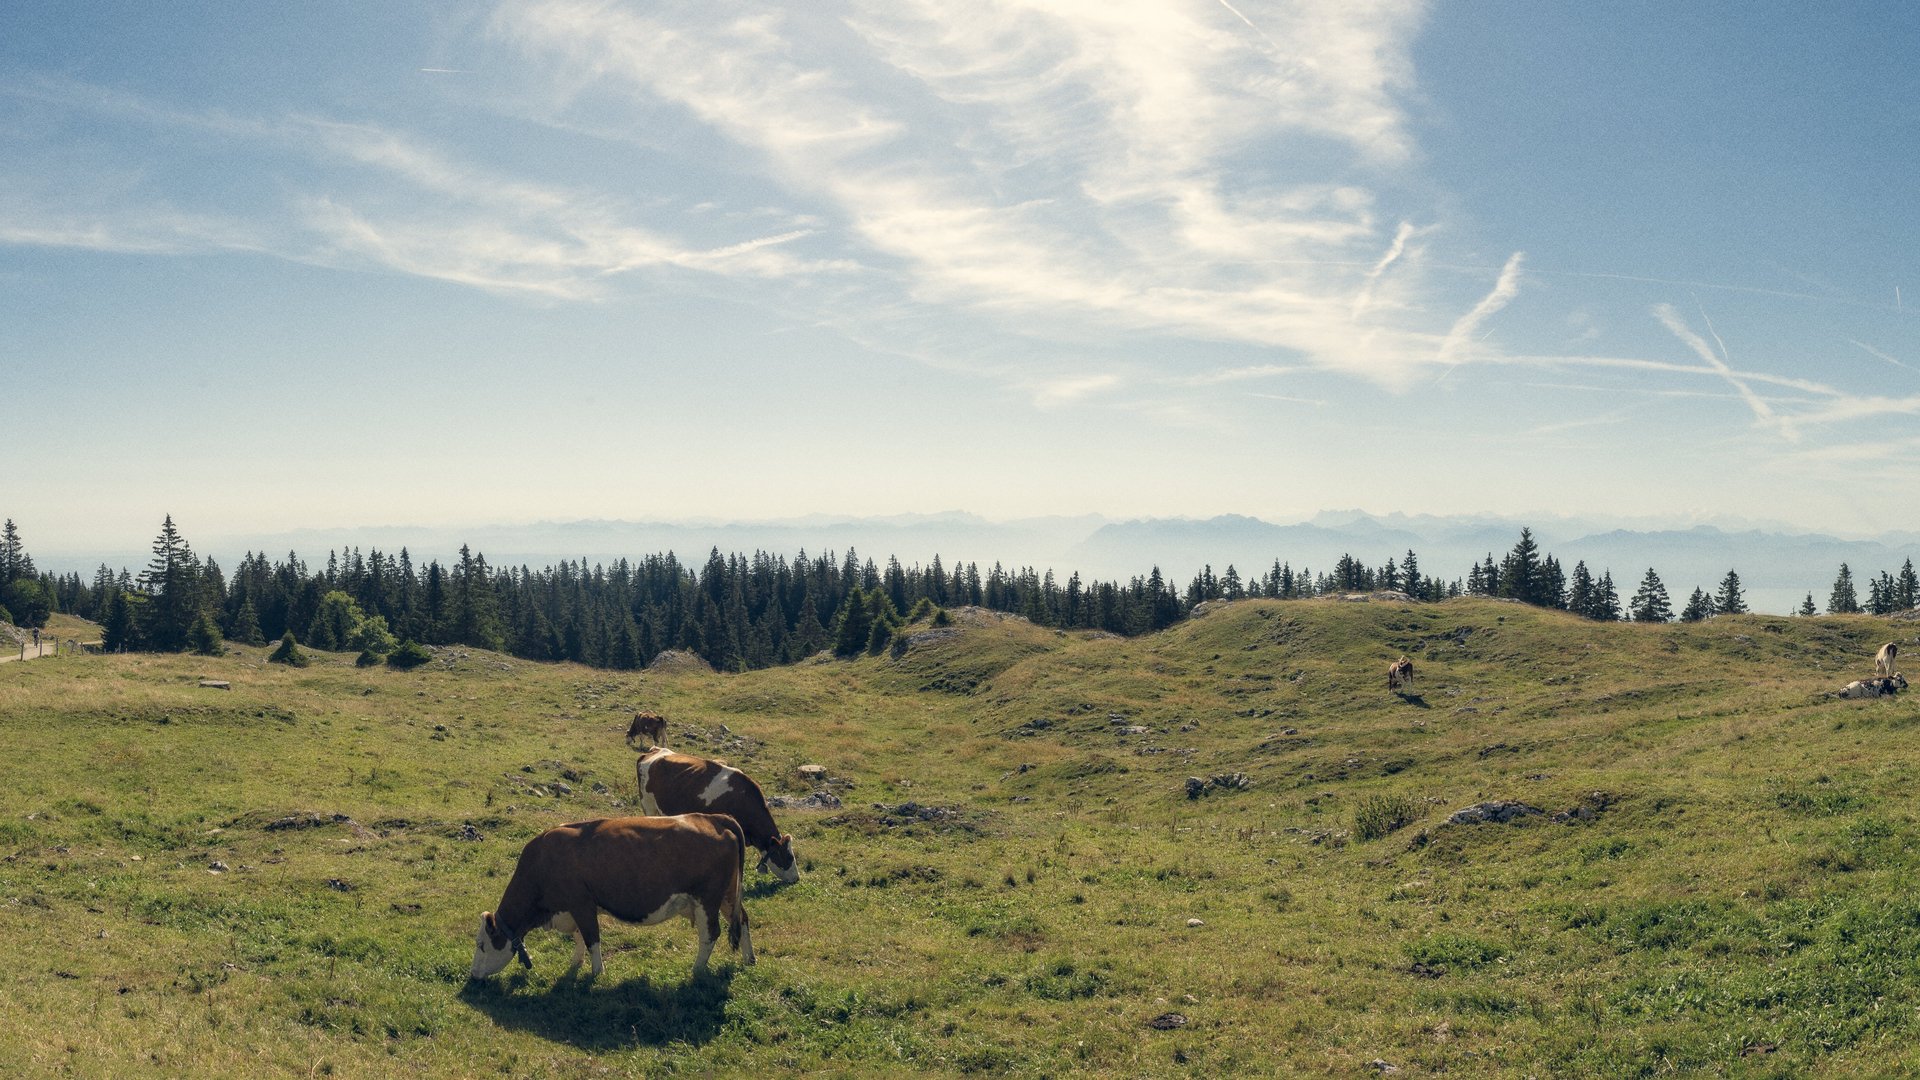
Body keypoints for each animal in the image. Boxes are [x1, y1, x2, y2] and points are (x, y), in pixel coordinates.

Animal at [468, 810, 752, 980]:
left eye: (481, 944)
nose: (472, 975)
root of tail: (712, 818)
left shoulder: (581, 902)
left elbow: (591, 938)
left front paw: (597, 972)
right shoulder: (572, 908)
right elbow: (579, 936)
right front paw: (576, 962)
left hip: (708, 900)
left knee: (710, 934)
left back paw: (696, 970)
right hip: (728, 896)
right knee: (743, 919)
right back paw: (749, 959)